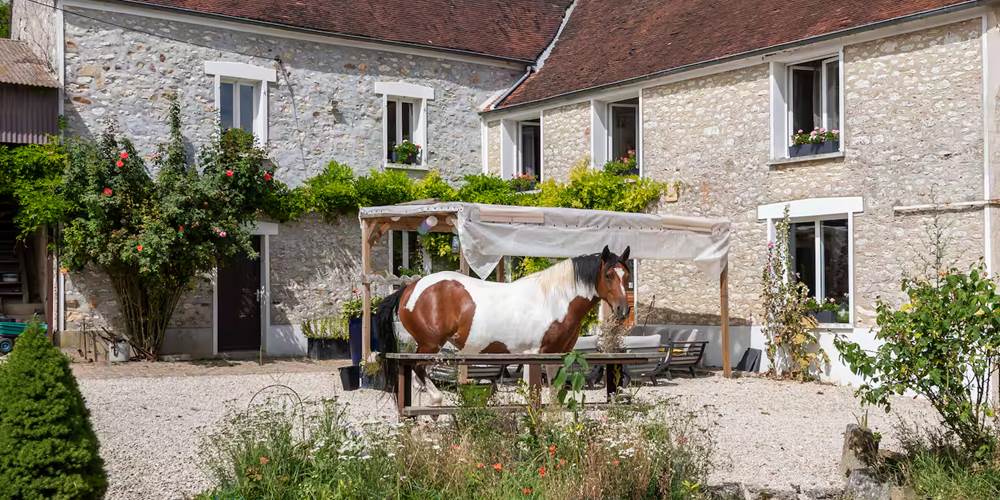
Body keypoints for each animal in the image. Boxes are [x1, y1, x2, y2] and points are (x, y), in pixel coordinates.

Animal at [374, 245, 631, 404]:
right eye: (608, 275)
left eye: (626, 276)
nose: (623, 310)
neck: (554, 299)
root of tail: (410, 288)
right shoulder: (533, 355)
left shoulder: (556, 355)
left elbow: (555, 394)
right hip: (429, 345)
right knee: (417, 368)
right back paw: (436, 402)